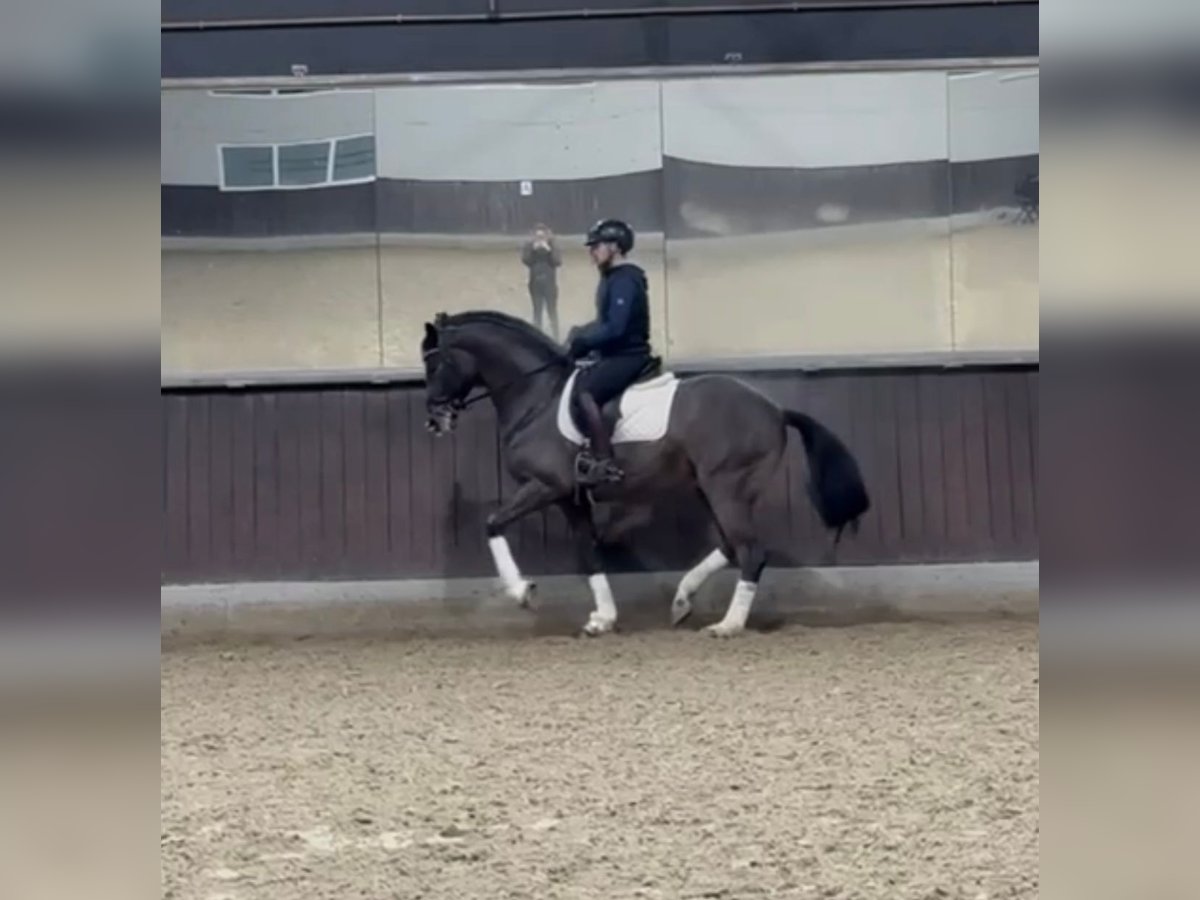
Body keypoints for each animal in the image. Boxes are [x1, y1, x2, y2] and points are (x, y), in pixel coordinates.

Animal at [424, 314, 873, 638]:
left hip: (726, 487)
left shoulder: (546, 487)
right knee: (731, 545)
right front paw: (602, 619)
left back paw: (728, 626)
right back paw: (683, 600)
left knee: (750, 552)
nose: (434, 420)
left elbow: (493, 523)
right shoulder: (570, 498)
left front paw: (523, 593)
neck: (537, 398)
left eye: (436, 363)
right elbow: (588, 553)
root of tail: (775, 410)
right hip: (711, 488)